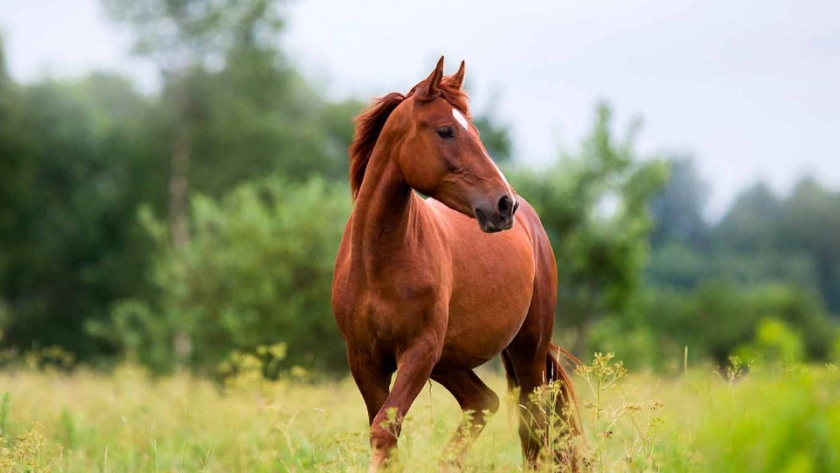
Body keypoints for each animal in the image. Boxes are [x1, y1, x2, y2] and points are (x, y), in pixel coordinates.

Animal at [332, 57, 580, 470]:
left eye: (473, 130)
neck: (378, 262)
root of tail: (532, 225)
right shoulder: (365, 360)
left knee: (532, 426)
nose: (503, 205)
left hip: (526, 349)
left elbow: (385, 429)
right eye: (445, 130)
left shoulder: (419, 351)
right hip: (449, 362)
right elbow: (385, 433)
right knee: (483, 403)